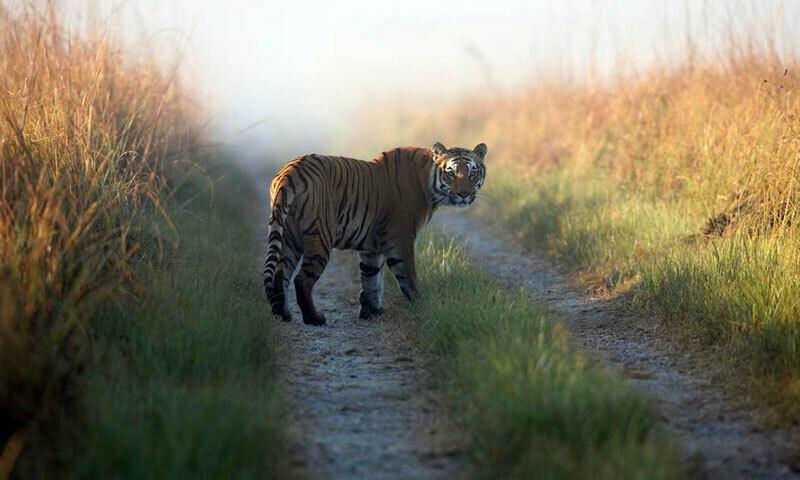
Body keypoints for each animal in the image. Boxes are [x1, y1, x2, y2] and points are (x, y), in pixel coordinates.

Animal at [262, 141, 488, 325]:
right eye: (451, 173)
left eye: (472, 173)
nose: (464, 194)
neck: (428, 182)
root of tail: (289, 173)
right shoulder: (401, 237)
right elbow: (407, 276)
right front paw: (420, 306)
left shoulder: (372, 245)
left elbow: (371, 278)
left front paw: (371, 313)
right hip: (320, 236)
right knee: (302, 280)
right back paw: (314, 318)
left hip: (290, 236)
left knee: (280, 274)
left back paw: (283, 314)